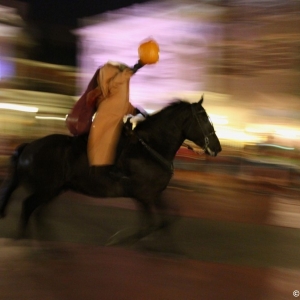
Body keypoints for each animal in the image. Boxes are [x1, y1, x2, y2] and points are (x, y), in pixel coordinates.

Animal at [0, 97, 220, 243]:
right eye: (204, 119)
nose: (217, 148)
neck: (150, 148)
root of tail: (28, 146)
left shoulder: (153, 194)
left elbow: (168, 219)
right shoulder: (146, 196)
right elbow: (153, 224)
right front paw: (128, 240)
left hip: (54, 189)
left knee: (38, 213)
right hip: (46, 189)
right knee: (28, 207)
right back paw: (24, 238)